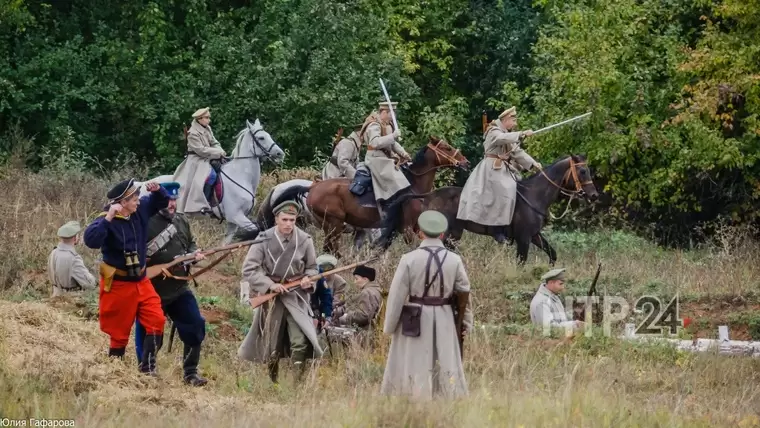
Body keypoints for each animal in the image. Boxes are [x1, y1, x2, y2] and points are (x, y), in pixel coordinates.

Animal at [136, 118, 282, 242]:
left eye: (268, 135)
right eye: (261, 137)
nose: (280, 154)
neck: (240, 176)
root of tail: (142, 185)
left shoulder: (233, 222)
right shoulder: (236, 216)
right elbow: (256, 230)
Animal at [268, 139, 470, 256]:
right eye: (446, 147)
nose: (466, 162)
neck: (412, 185)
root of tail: (313, 187)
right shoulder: (405, 229)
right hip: (333, 225)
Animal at [422, 155, 600, 264]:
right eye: (582, 171)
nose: (594, 195)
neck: (534, 195)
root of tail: (431, 195)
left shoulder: (534, 235)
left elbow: (552, 254)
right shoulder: (524, 238)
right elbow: (521, 262)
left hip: (454, 234)